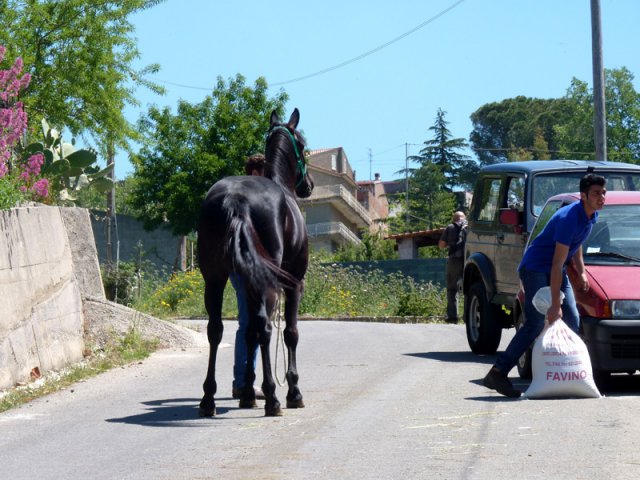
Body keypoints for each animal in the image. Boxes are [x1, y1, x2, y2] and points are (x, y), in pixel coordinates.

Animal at [196, 109, 314, 416]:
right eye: (303, 145)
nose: (309, 185)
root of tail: (235, 200)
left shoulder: (247, 283)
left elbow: (247, 334)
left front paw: (248, 391)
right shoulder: (295, 283)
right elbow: (290, 333)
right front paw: (293, 391)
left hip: (214, 279)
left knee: (216, 329)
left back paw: (208, 398)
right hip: (268, 284)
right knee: (266, 327)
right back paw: (273, 398)